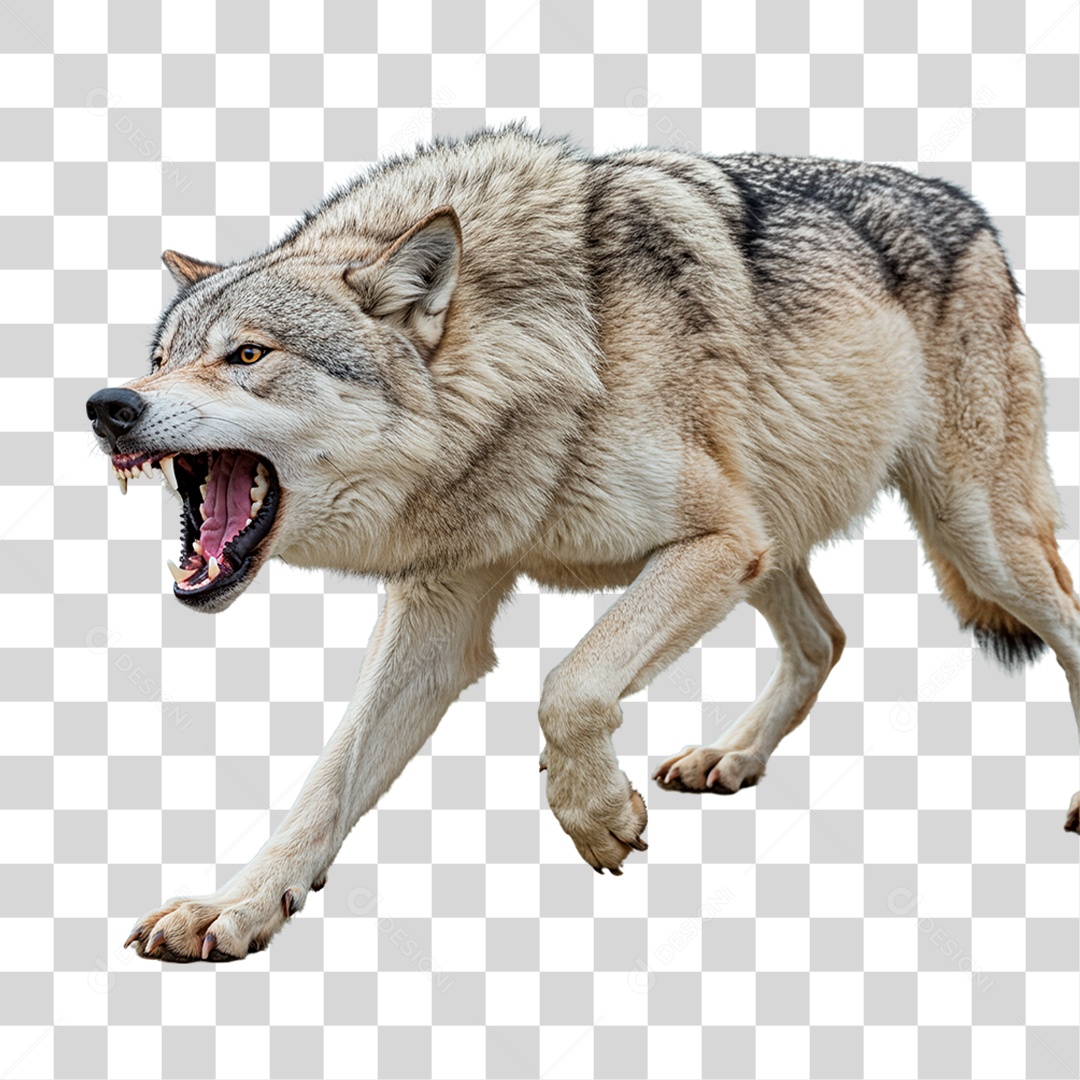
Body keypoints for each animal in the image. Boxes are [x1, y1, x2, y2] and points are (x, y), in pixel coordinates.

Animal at [86, 125, 1080, 963]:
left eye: (248, 356)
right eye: (162, 356)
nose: (107, 405)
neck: (540, 365)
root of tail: (969, 208)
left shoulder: (712, 542)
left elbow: (570, 684)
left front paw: (595, 812)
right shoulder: (445, 609)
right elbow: (327, 782)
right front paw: (238, 907)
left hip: (969, 533)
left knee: (1061, 623)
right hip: (775, 542)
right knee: (825, 640)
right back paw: (731, 758)